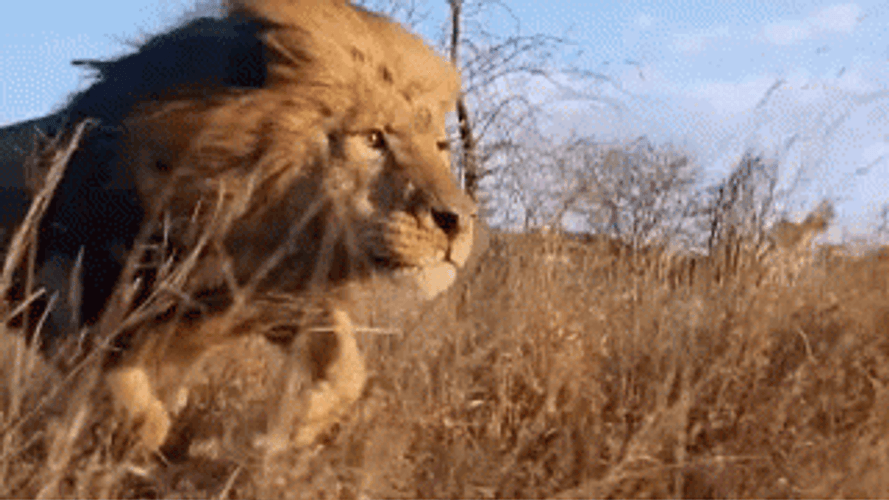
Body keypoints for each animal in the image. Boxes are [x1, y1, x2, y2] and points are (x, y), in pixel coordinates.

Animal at [1, 0, 477, 455]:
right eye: (374, 139)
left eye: (440, 146)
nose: (458, 221)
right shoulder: (63, 298)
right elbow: (133, 405)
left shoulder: (271, 291)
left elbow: (347, 371)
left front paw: (282, 435)